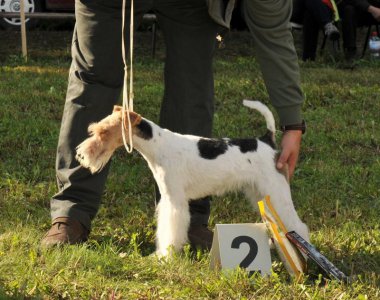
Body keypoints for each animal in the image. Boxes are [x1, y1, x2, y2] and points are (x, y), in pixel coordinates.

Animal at [76, 100, 308, 255]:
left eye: (104, 132)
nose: (81, 155)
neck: (158, 146)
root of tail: (266, 140)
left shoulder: (175, 201)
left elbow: (171, 229)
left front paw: (165, 256)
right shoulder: (167, 199)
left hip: (276, 192)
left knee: (299, 225)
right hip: (259, 192)